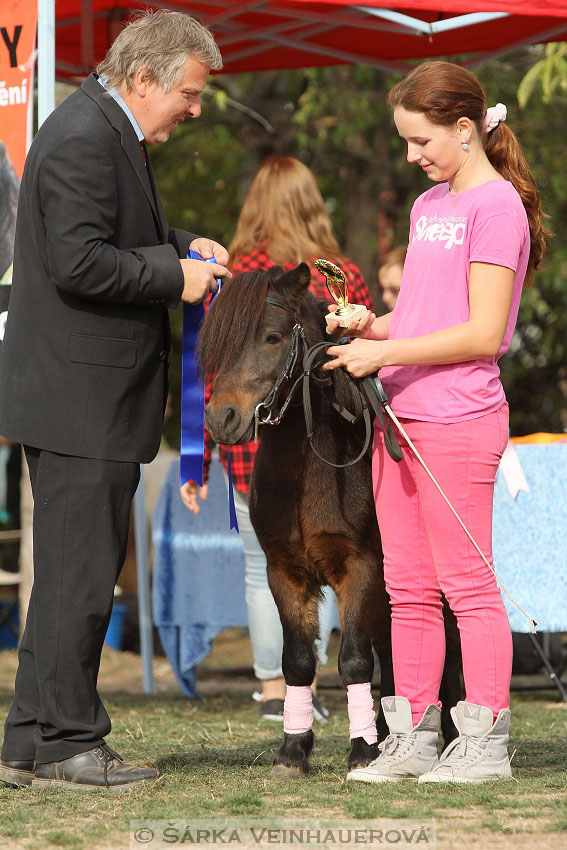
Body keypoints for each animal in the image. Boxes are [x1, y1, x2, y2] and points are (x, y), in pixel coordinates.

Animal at [200, 264, 462, 776]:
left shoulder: (360, 567)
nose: (223, 419)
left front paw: (361, 752)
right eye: (216, 344)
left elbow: (355, 660)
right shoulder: (284, 572)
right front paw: (293, 751)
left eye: (273, 336)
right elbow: (300, 661)